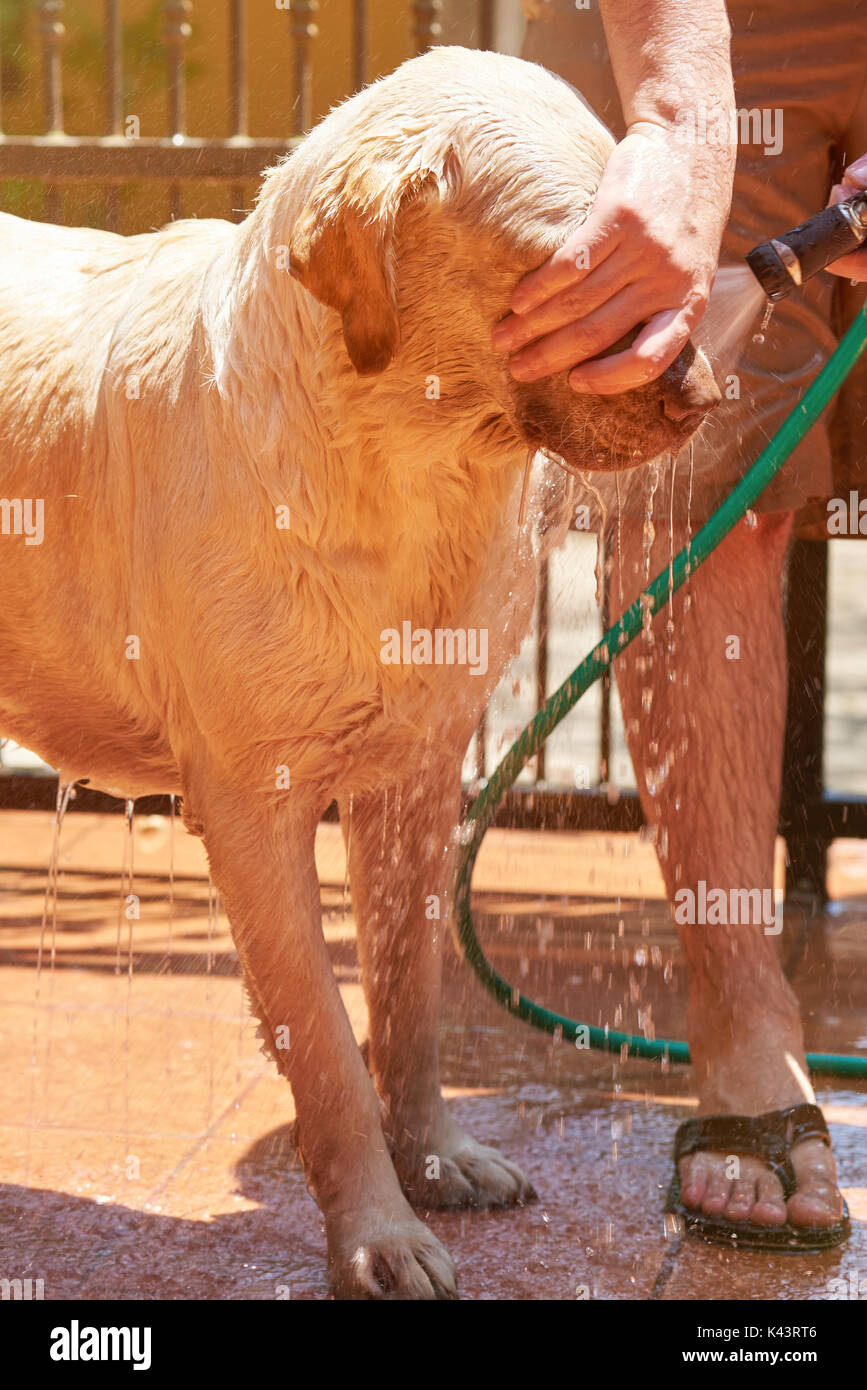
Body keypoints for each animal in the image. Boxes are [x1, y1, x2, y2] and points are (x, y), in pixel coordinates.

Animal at [0, 46, 716, 1301]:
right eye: (577, 275)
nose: (710, 391)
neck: (404, 464)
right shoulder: (251, 803)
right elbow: (327, 1043)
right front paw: (379, 1236)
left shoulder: (416, 777)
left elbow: (410, 1001)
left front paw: (435, 1159)